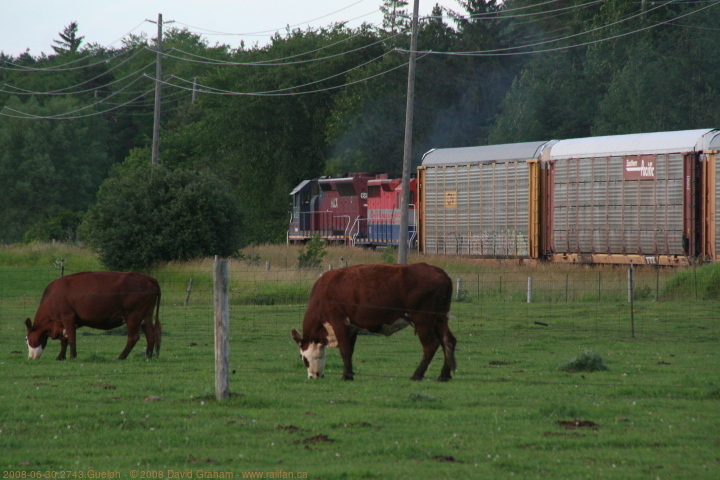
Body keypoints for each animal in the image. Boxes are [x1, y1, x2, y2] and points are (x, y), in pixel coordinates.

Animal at [25, 270, 162, 360]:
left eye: (26, 339)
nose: (30, 357)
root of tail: (147, 278)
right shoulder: (61, 323)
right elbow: (64, 340)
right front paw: (60, 357)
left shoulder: (68, 317)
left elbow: (71, 338)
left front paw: (72, 357)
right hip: (146, 316)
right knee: (151, 335)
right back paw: (148, 356)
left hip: (133, 316)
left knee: (133, 337)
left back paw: (121, 357)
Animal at [292, 262, 456, 382]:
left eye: (302, 357)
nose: (313, 376)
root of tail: (437, 270)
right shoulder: (352, 327)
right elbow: (349, 350)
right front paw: (349, 373)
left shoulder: (338, 321)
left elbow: (344, 350)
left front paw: (346, 376)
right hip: (440, 318)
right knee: (448, 341)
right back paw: (444, 375)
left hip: (423, 320)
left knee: (431, 345)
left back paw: (417, 375)